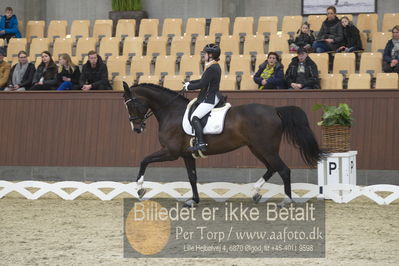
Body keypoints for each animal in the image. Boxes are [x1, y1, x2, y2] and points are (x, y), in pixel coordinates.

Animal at [123, 82, 326, 206]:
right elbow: (192, 177)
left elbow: (144, 160)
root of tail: (275, 110)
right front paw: (194, 200)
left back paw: (286, 201)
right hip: (257, 149)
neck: (172, 112)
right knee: (272, 168)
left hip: (266, 149)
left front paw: (140, 189)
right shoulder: (187, 155)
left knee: (283, 170)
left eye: (131, 105)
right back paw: (256, 192)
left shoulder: (170, 152)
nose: (136, 128)